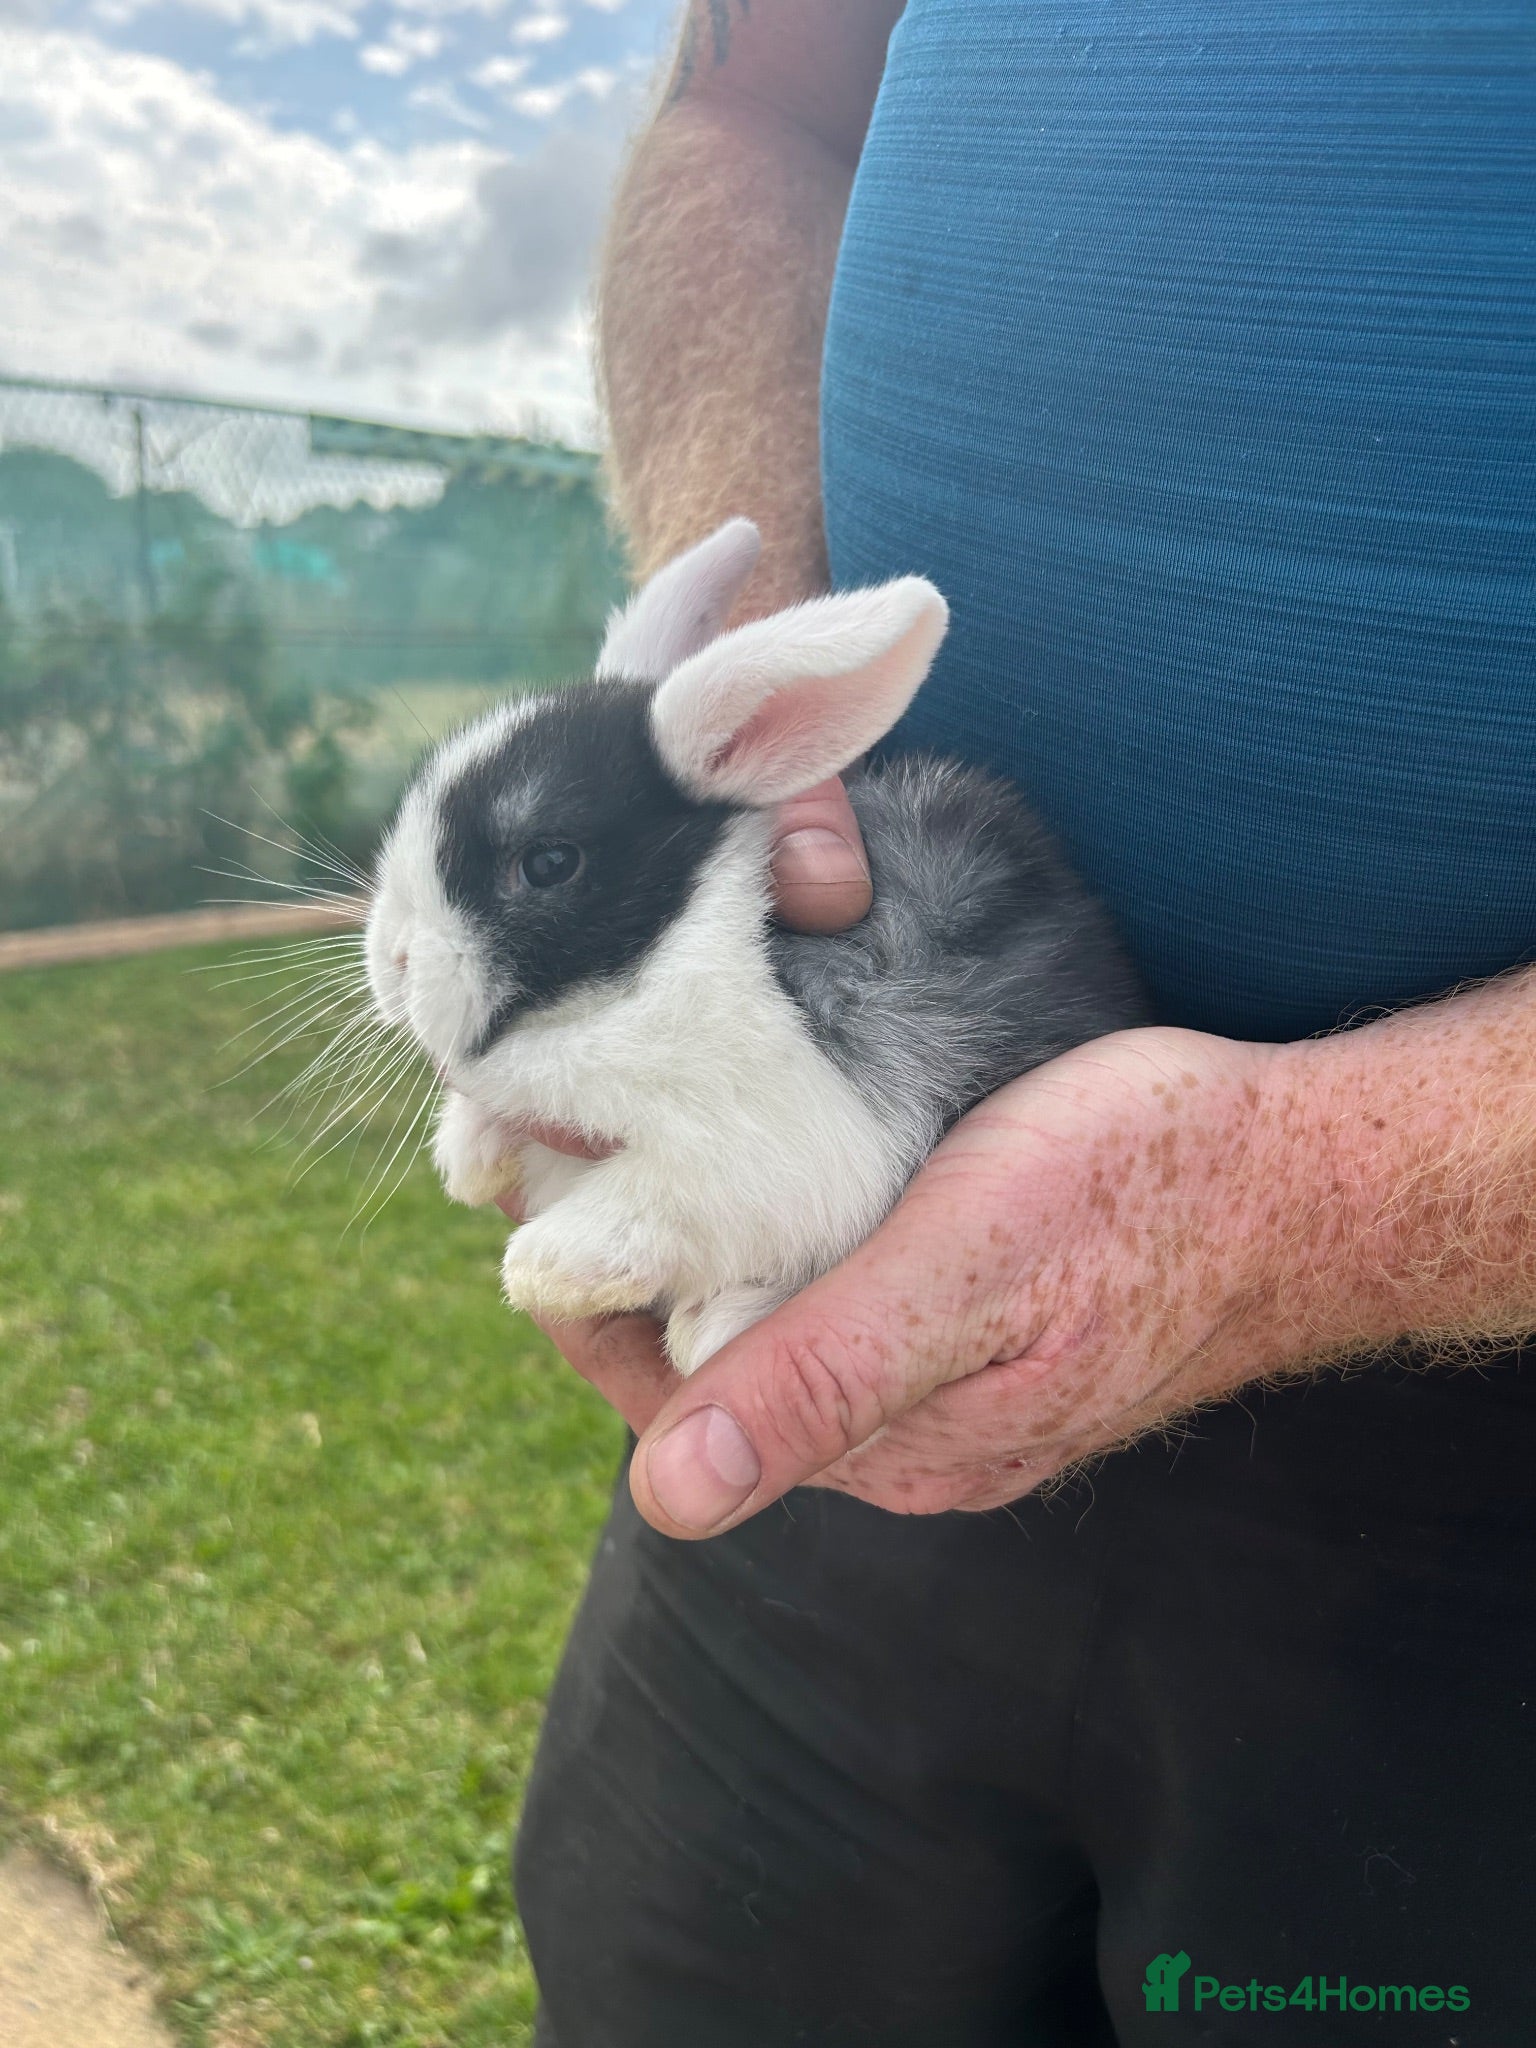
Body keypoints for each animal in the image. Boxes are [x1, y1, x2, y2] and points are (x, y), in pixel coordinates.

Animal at [364, 518, 1150, 1376]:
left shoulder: (767, 1153)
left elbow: (650, 1204)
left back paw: (716, 1324)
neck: (650, 973)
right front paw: (470, 1159)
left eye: (547, 863)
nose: (391, 963)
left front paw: (544, 1269)